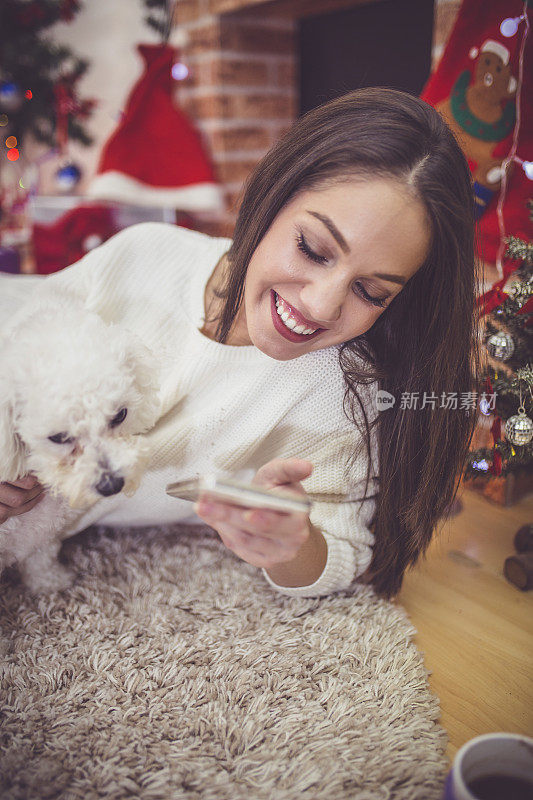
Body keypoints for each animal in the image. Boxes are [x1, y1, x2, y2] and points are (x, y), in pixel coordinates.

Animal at [0, 290, 160, 592]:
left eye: (120, 415)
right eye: (59, 437)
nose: (112, 485)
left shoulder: (39, 533)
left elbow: (40, 557)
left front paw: (50, 583)